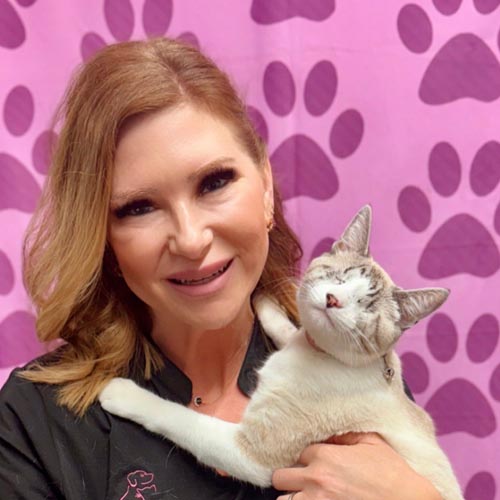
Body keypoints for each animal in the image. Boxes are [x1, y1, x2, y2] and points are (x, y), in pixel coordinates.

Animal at [100, 205, 464, 498]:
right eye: (338, 277)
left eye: (366, 306)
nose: (333, 299)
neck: (314, 352)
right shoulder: (296, 337)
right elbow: (284, 326)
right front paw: (263, 298)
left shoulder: (250, 452)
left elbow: (176, 416)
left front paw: (120, 393)